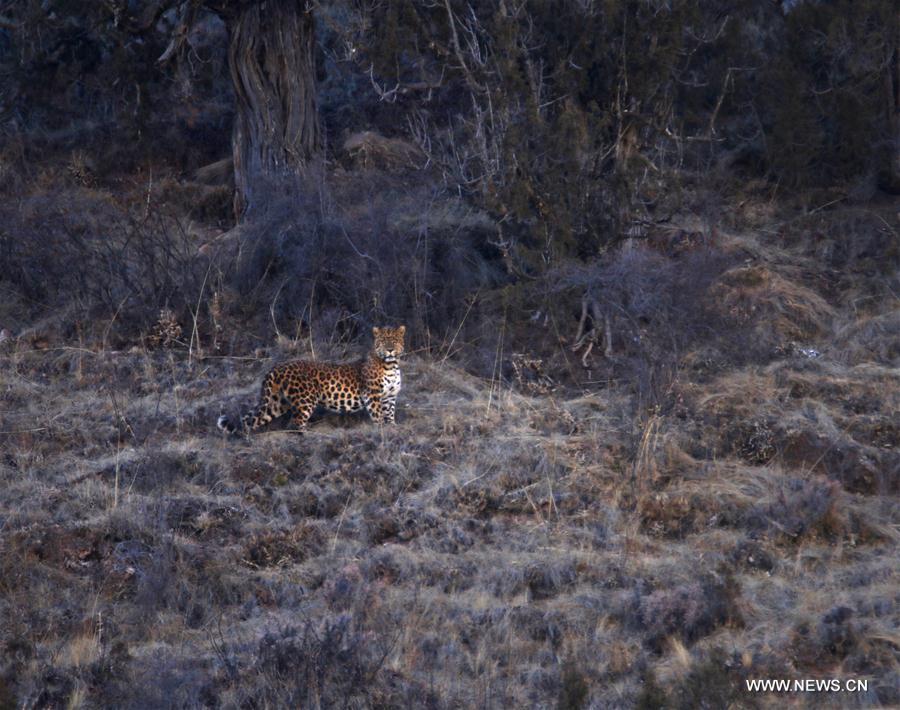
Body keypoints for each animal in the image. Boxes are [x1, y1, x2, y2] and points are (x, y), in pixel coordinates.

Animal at [217, 326, 404, 436]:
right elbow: (378, 414)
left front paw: (392, 427)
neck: (391, 365)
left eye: (395, 341)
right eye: (383, 341)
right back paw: (309, 434)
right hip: (306, 399)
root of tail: (276, 367)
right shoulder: (372, 394)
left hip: (276, 402)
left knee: (251, 420)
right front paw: (381, 430)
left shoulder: (390, 396)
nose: (390, 349)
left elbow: (390, 412)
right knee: (296, 421)